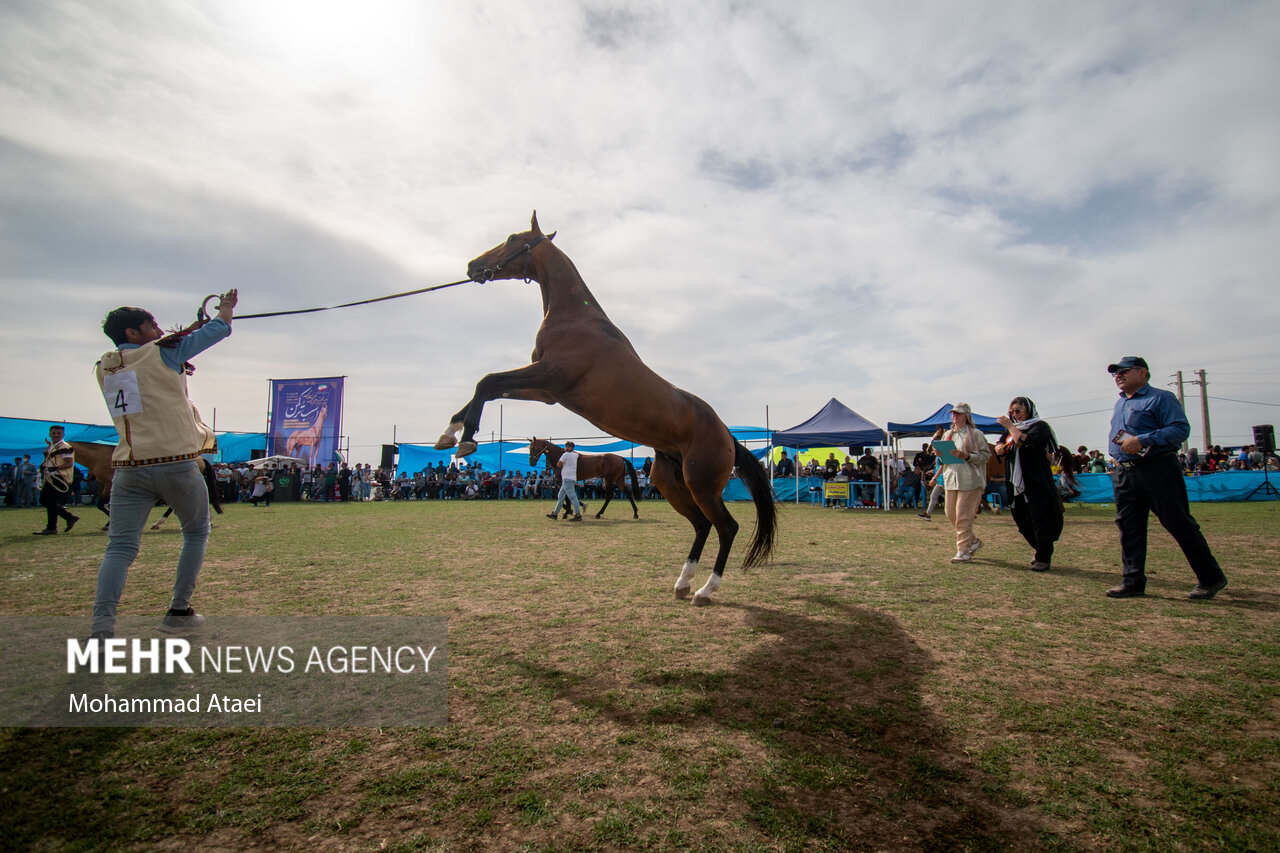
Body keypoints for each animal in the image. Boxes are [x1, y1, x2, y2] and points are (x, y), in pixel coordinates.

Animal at [72, 440, 225, 527]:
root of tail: (200, 458)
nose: (89, 478)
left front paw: (109, 522)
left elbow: (102, 504)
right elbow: (101, 504)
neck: (101, 456)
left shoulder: (109, 483)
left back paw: (159, 522)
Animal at [440, 208, 773, 601]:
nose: (472, 266)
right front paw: (450, 433)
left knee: (726, 527)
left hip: (702, 486)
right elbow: (486, 388)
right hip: (671, 484)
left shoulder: (549, 378)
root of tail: (727, 436)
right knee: (702, 525)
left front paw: (465, 440)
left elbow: (487, 381)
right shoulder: (546, 391)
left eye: (510, 238)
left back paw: (706, 590)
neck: (576, 318)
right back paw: (682, 583)